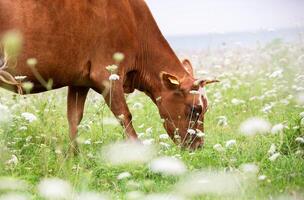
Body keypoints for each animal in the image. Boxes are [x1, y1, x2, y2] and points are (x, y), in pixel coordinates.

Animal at [0, 0, 218, 150]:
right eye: (195, 109)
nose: (198, 147)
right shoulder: (107, 74)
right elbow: (124, 115)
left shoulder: (80, 80)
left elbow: (74, 117)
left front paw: (73, 157)